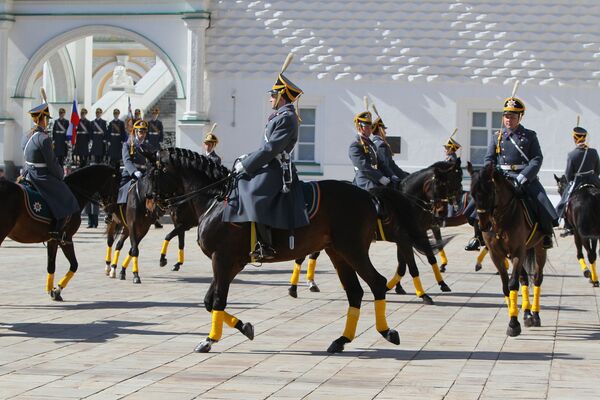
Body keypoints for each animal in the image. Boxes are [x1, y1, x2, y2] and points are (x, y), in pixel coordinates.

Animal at [145, 149, 436, 354]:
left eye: (150, 172)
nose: (149, 203)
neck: (217, 200)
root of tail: (366, 195)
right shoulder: (231, 263)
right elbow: (209, 301)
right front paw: (244, 327)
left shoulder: (223, 259)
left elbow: (217, 301)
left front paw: (209, 340)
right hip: (338, 253)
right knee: (355, 292)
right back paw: (341, 340)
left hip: (352, 250)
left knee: (376, 283)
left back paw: (387, 332)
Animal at [468, 164, 548, 336]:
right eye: (472, 194)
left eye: (490, 192)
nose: (483, 225)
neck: (500, 220)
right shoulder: (496, 255)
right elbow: (506, 286)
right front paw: (514, 318)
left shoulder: (518, 251)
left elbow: (512, 284)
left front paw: (513, 324)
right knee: (524, 278)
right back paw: (527, 314)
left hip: (539, 248)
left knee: (537, 278)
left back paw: (535, 315)